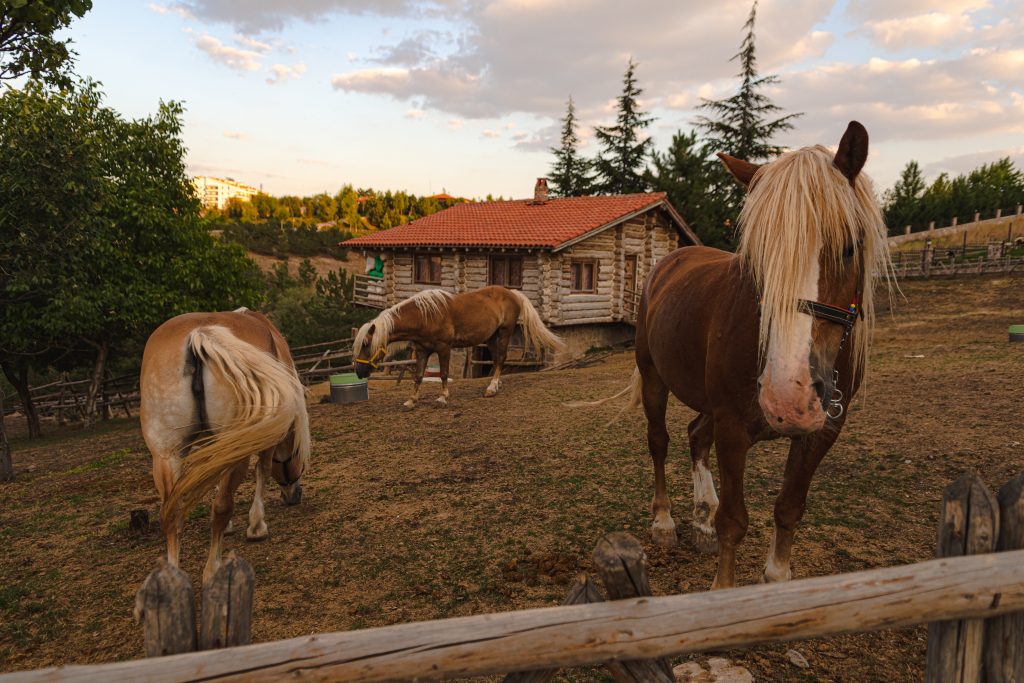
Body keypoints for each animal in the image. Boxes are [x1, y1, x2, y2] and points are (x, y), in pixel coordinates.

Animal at [140, 308, 310, 584]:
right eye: (299, 459)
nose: (295, 496)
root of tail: (199, 335)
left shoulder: (221, 446)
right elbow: (262, 471)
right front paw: (256, 526)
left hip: (166, 455)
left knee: (172, 513)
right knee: (222, 507)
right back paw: (214, 569)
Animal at [353, 286, 564, 407]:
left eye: (366, 344)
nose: (359, 372)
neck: (424, 316)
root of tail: (511, 293)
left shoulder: (443, 348)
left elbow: (444, 374)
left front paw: (443, 397)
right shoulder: (422, 351)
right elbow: (418, 376)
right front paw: (412, 400)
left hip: (504, 333)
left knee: (501, 359)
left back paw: (491, 388)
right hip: (490, 337)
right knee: (497, 360)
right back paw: (495, 385)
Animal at [575, 122, 890, 589]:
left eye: (849, 247)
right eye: (756, 259)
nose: (788, 396)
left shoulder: (822, 432)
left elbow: (788, 508)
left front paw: (775, 573)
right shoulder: (733, 426)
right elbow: (734, 521)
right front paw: (722, 584)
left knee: (694, 435)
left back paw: (701, 518)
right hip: (654, 378)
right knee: (660, 441)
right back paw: (666, 522)